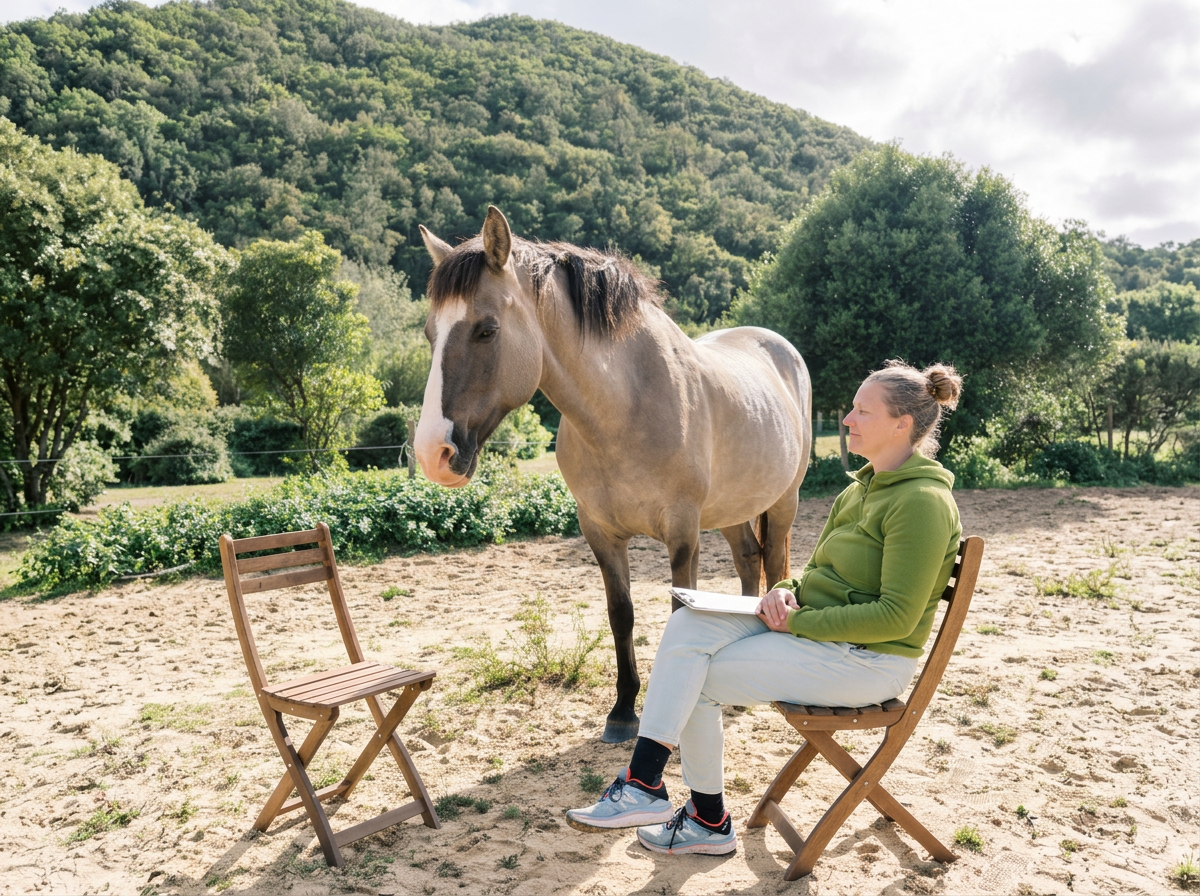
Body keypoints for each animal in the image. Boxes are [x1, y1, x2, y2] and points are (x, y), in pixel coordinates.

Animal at [414, 206, 812, 743]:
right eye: (431, 334)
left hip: (783, 501)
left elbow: (678, 613)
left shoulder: (682, 531)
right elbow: (620, 614)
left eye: (486, 330)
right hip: (733, 508)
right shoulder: (600, 531)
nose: (431, 452)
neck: (625, 407)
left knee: (772, 563)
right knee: (749, 562)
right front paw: (623, 711)